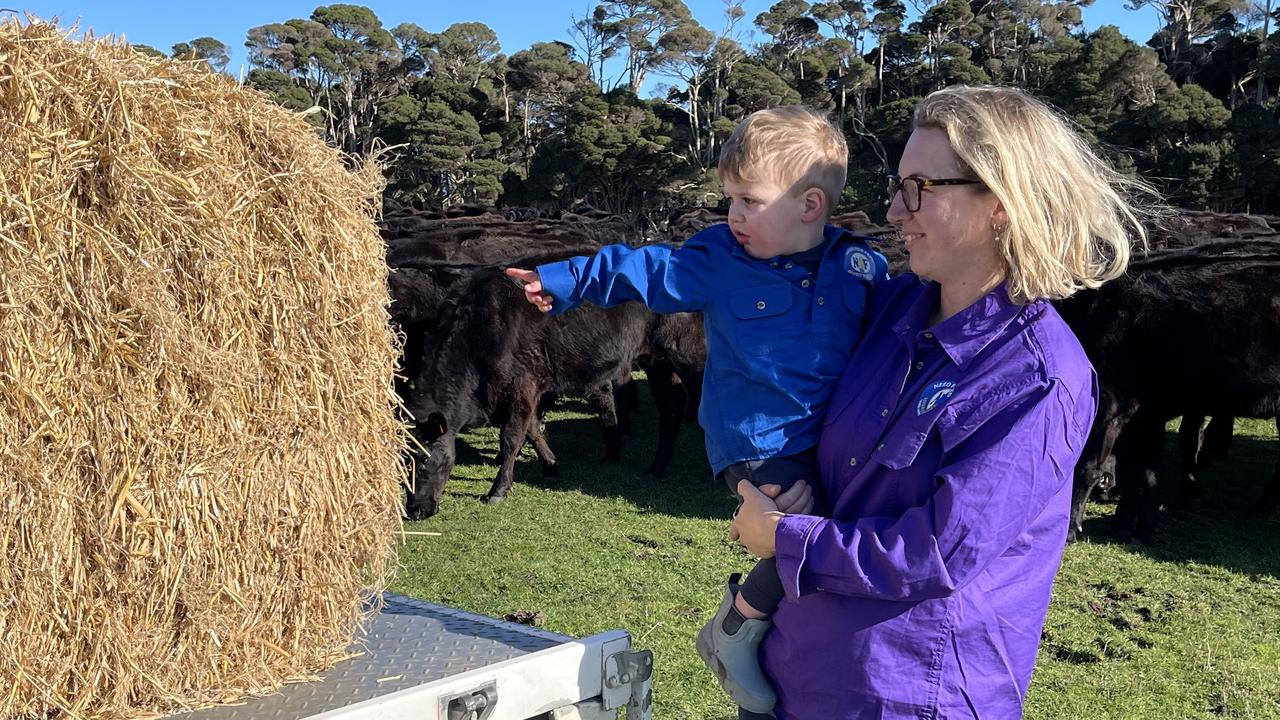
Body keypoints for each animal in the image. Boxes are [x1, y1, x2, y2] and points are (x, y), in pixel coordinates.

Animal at [1064, 238, 1280, 540]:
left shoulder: (1112, 402)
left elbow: (1088, 467)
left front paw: (1072, 527)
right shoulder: (1146, 411)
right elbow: (1144, 470)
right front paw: (1135, 526)